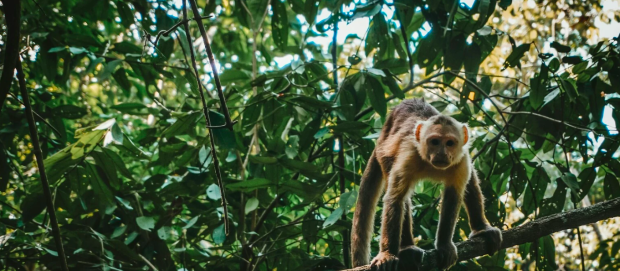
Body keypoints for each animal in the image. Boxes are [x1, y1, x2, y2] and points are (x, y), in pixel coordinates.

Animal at [352, 99, 502, 270]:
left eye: (450, 143)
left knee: (470, 182)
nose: (441, 153)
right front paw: (387, 254)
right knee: (401, 196)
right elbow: (395, 199)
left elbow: (454, 195)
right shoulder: (410, 155)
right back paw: (407, 248)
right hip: (384, 153)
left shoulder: (461, 159)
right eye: (434, 142)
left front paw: (444, 245)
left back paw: (481, 229)